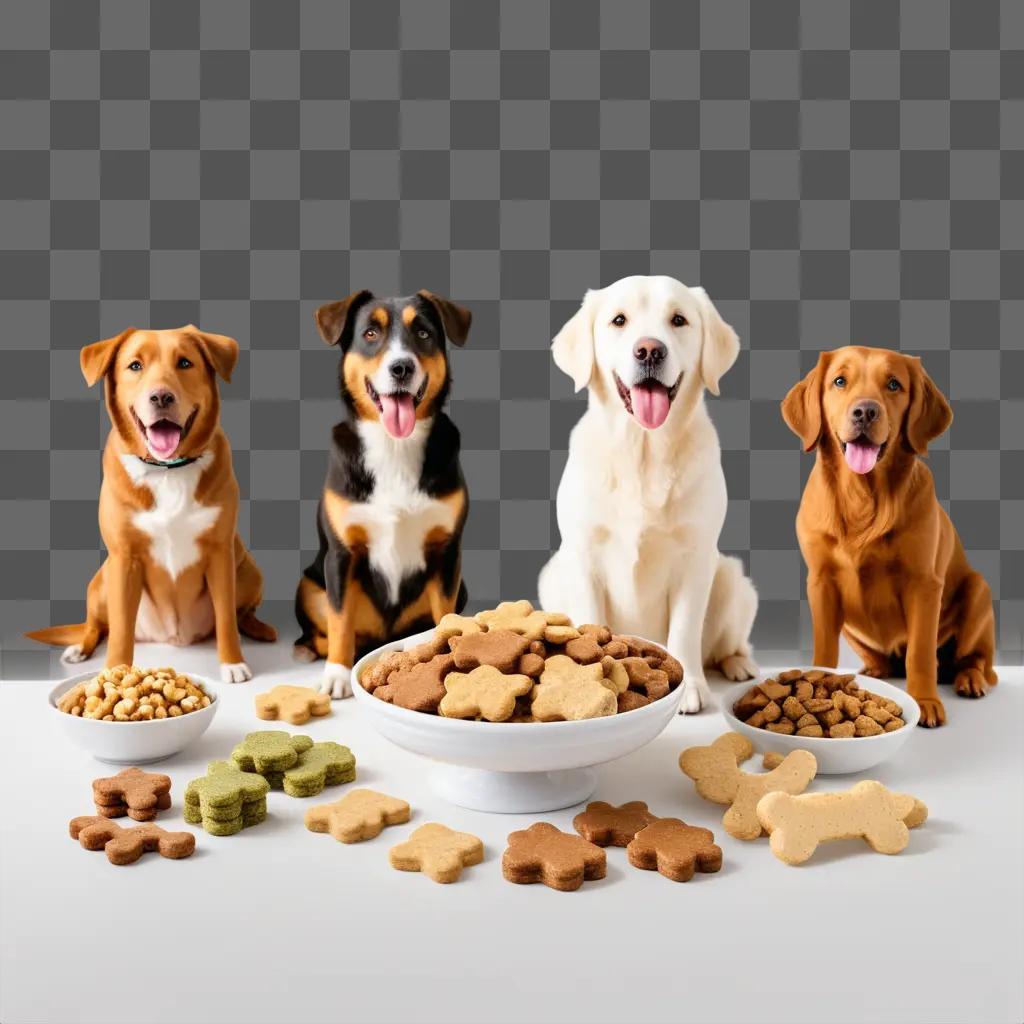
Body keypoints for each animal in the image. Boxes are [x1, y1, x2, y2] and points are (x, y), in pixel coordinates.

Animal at [28, 327, 276, 679]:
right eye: (135, 366)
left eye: (185, 362)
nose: (161, 397)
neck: (168, 470)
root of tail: (170, 636)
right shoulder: (124, 559)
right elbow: (119, 630)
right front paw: (115, 672)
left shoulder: (220, 554)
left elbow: (226, 617)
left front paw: (232, 663)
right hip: (101, 582)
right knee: (97, 625)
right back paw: (81, 647)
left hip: (248, 569)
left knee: (241, 613)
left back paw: (258, 629)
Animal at [294, 292, 473, 700]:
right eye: (370, 333)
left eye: (422, 333)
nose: (401, 367)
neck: (395, 446)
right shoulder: (342, 554)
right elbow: (340, 621)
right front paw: (337, 675)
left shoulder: (446, 552)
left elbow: (445, 615)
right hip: (309, 584)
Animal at [540, 276, 757, 716]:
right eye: (619, 320)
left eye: (679, 320)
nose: (650, 350)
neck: (644, 451)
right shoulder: (583, 555)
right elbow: (589, 618)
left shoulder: (695, 557)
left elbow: (685, 629)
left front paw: (689, 687)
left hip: (731, 579)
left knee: (725, 644)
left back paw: (738, 664)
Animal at [782, 348, 991, 724]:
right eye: (839, 381)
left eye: (894, 384)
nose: (865, 411)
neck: (863, 496)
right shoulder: (821, 581)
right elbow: (824, 648)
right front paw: (819, 683)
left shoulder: (924, 584)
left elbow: (921, 653)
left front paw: (924, 701)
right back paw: (874, 670)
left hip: (978, 590)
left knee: (972, 658)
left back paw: (969, 678)